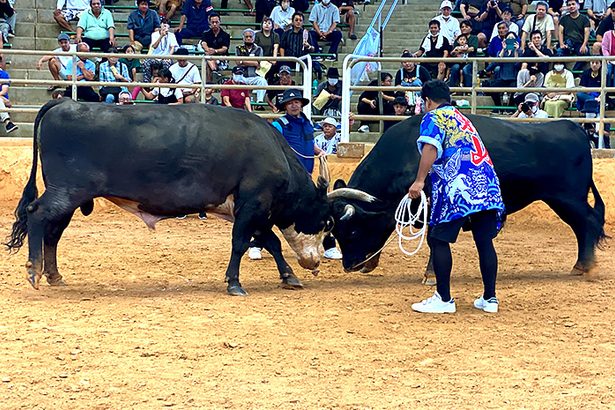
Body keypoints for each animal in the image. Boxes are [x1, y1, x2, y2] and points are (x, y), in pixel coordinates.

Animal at [6, 100, 342, 294]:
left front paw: (289, 277)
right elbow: (241, 244)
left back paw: (53, 275)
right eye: (327, 222)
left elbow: (270, 242)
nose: (314, 263)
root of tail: (64, 101)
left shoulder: (252, 211)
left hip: (69, 198)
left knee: (53, 231)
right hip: (66, 192)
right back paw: (34, 270)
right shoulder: (253, 205)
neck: (272, 151)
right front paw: (234, 283)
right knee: (38, 215)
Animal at [330, 113, 608, 278]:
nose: (349, 265)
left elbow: (433, 239)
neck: (408, 154)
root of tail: (572, 128)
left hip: (568, 198)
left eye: (352, 231)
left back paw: (584, 265)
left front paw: (431, 273)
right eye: (336, 232)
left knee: (588, 222)